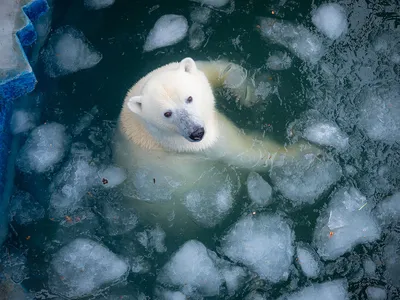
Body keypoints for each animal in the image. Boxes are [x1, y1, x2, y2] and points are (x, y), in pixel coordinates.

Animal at [114, 57, 320, 236]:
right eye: (167, 113)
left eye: (189, 98)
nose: (196, 132)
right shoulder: (193, 144)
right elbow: (245, 151)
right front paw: (308, 152)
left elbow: (210, 69)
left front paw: (244, 91)